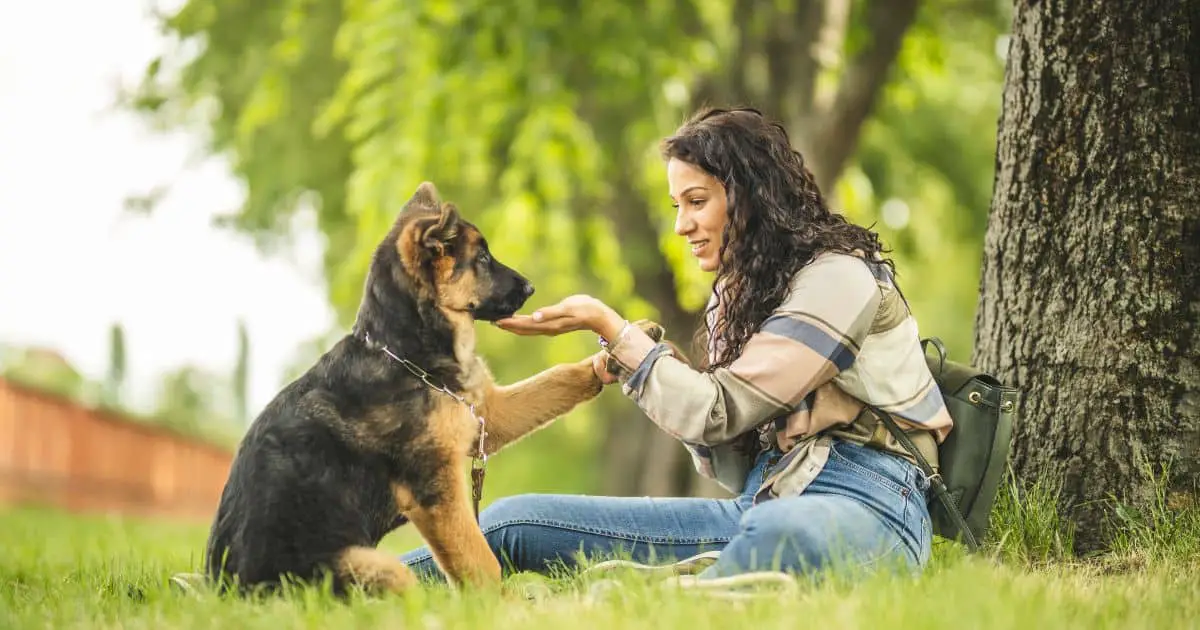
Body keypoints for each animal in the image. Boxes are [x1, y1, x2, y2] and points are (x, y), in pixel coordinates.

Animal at [202, 180, 609, 595]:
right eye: (481, 258)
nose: (530, 288)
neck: (406, 354)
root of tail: (225, 591)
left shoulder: (488, 417)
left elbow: (558, 378)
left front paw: (612, 355)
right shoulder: (436, 491)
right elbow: (481, 560)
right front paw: (499, 604)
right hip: (375, 567)